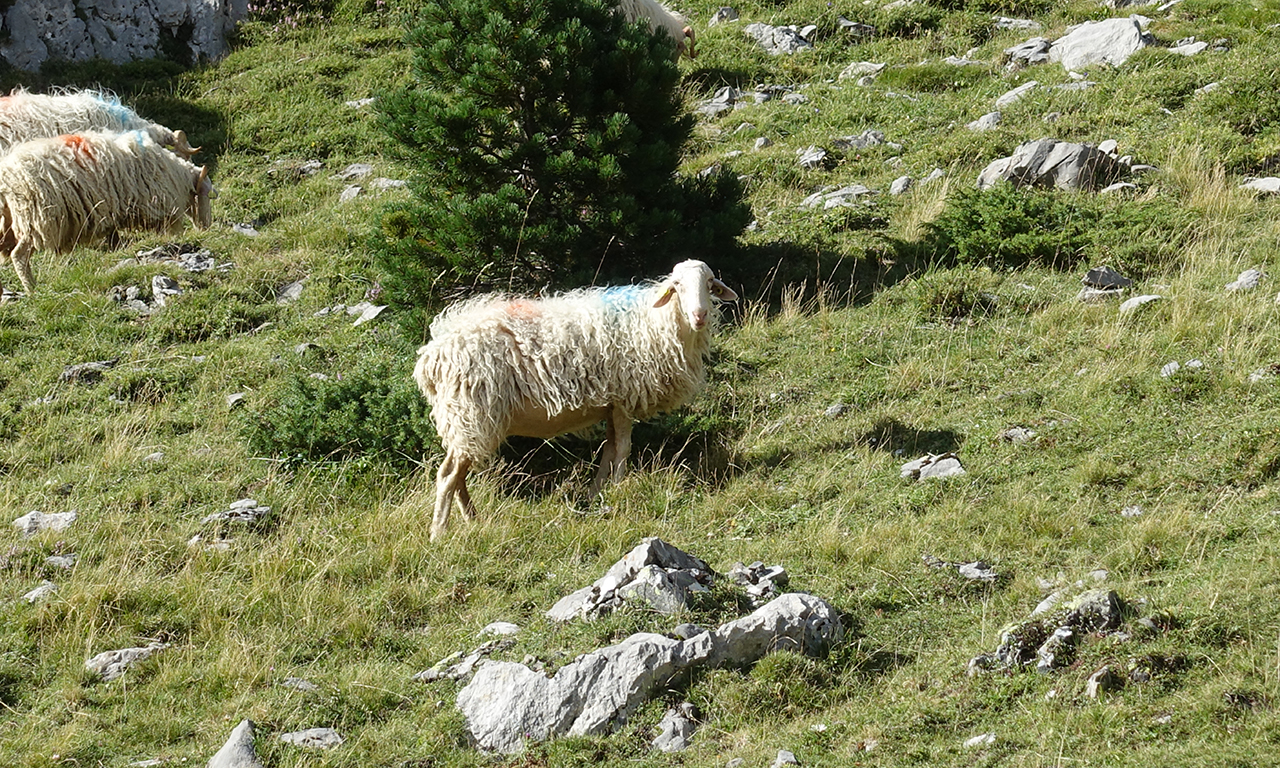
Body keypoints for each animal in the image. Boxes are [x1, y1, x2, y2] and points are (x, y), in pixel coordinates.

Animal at [0, 131, 215, 294]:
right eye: (204, 195)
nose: (206, 228)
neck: (175, 176)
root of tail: (5, 182)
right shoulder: (158, 211)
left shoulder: (111, 214)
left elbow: (114, 239)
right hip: (34, 220)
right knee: (19, 256)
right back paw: (32, 289)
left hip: (7, 227)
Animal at [417, 258, 742, 540]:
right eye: (677, 285)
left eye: (710, 283)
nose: (699, 315)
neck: (655, 323)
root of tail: (432, 355)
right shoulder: (624, 398)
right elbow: (622, 449)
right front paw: (618, 488)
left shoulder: (610, 405)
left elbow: (608, 450)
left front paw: (596, 492)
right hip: (471, 412)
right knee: (448, 474)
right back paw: (439, 532)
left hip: (465, 420)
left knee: (458, 474)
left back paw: (473, 519)